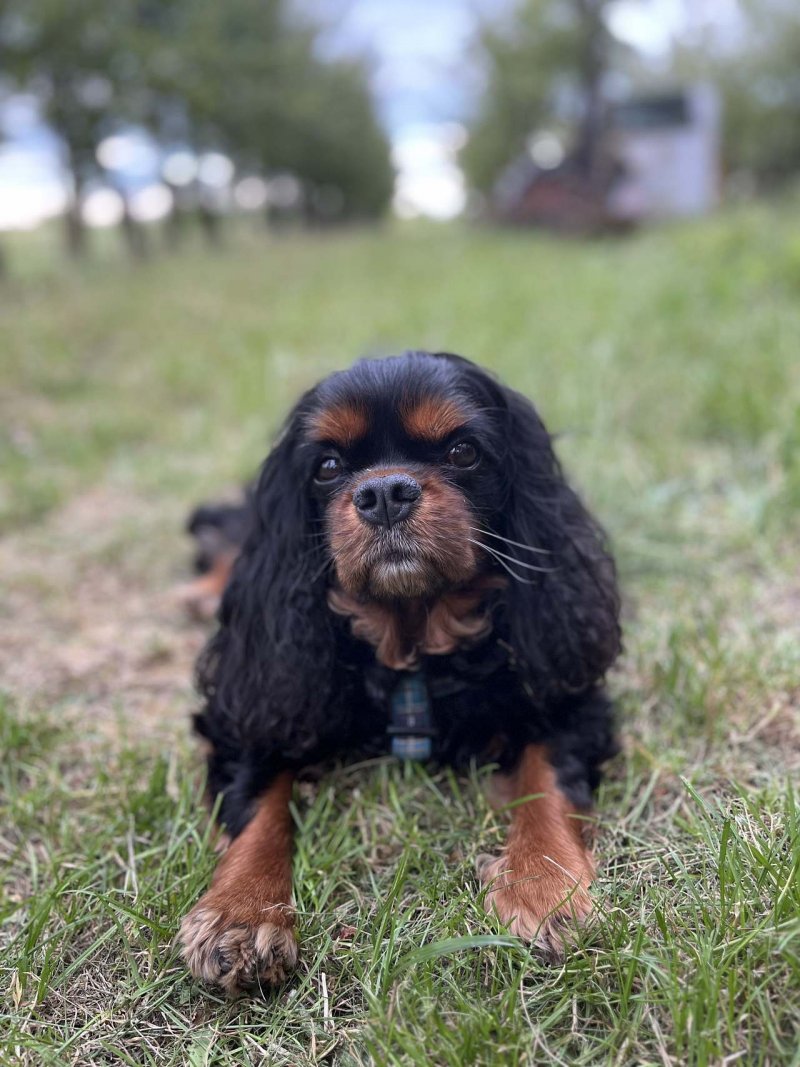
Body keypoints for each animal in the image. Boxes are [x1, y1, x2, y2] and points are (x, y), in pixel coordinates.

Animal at [179, 350, 622, 994]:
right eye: (328, 466)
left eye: (463, 452)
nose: (385, 491)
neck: (410, 647)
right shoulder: (256, 703)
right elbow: (260, 802)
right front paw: (242, 913)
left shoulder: (569, 695)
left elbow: (547, 779)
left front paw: (544, 888)